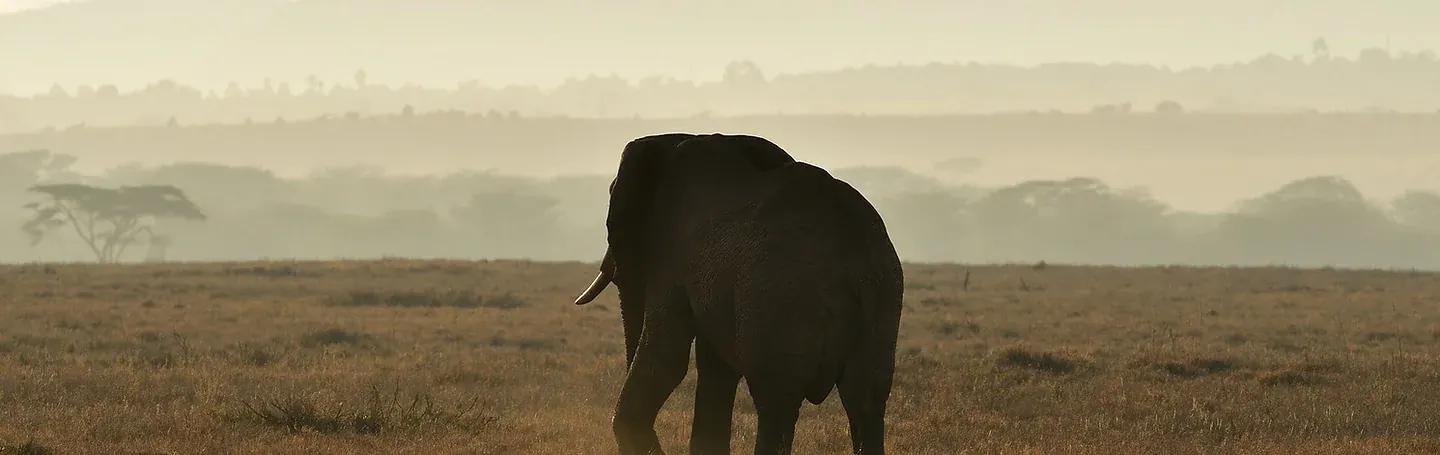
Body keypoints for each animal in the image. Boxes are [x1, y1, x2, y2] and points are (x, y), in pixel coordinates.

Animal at [572, 132, 905, 455]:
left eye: (614, 231)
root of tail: (854, 257)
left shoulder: (672, 258)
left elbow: (668, 360)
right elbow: (716, 367)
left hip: (780, 302)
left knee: (776, 403)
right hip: (884, 297)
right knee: (866, 401)